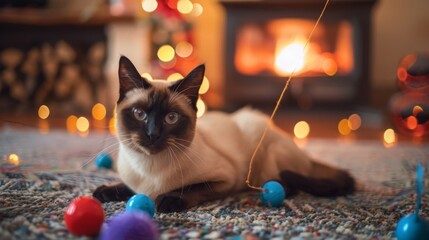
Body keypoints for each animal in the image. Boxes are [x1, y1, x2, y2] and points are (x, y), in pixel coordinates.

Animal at [93, 55, 354, 212]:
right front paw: (103, 192)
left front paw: (167, 200)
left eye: (171, 118)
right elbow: (129, 187)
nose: (152, 134)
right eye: (139, 114)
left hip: (263, 156)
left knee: (289, 184)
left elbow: (191, 189)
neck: (149, 169)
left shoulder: (225, 179)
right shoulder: (136, 182)